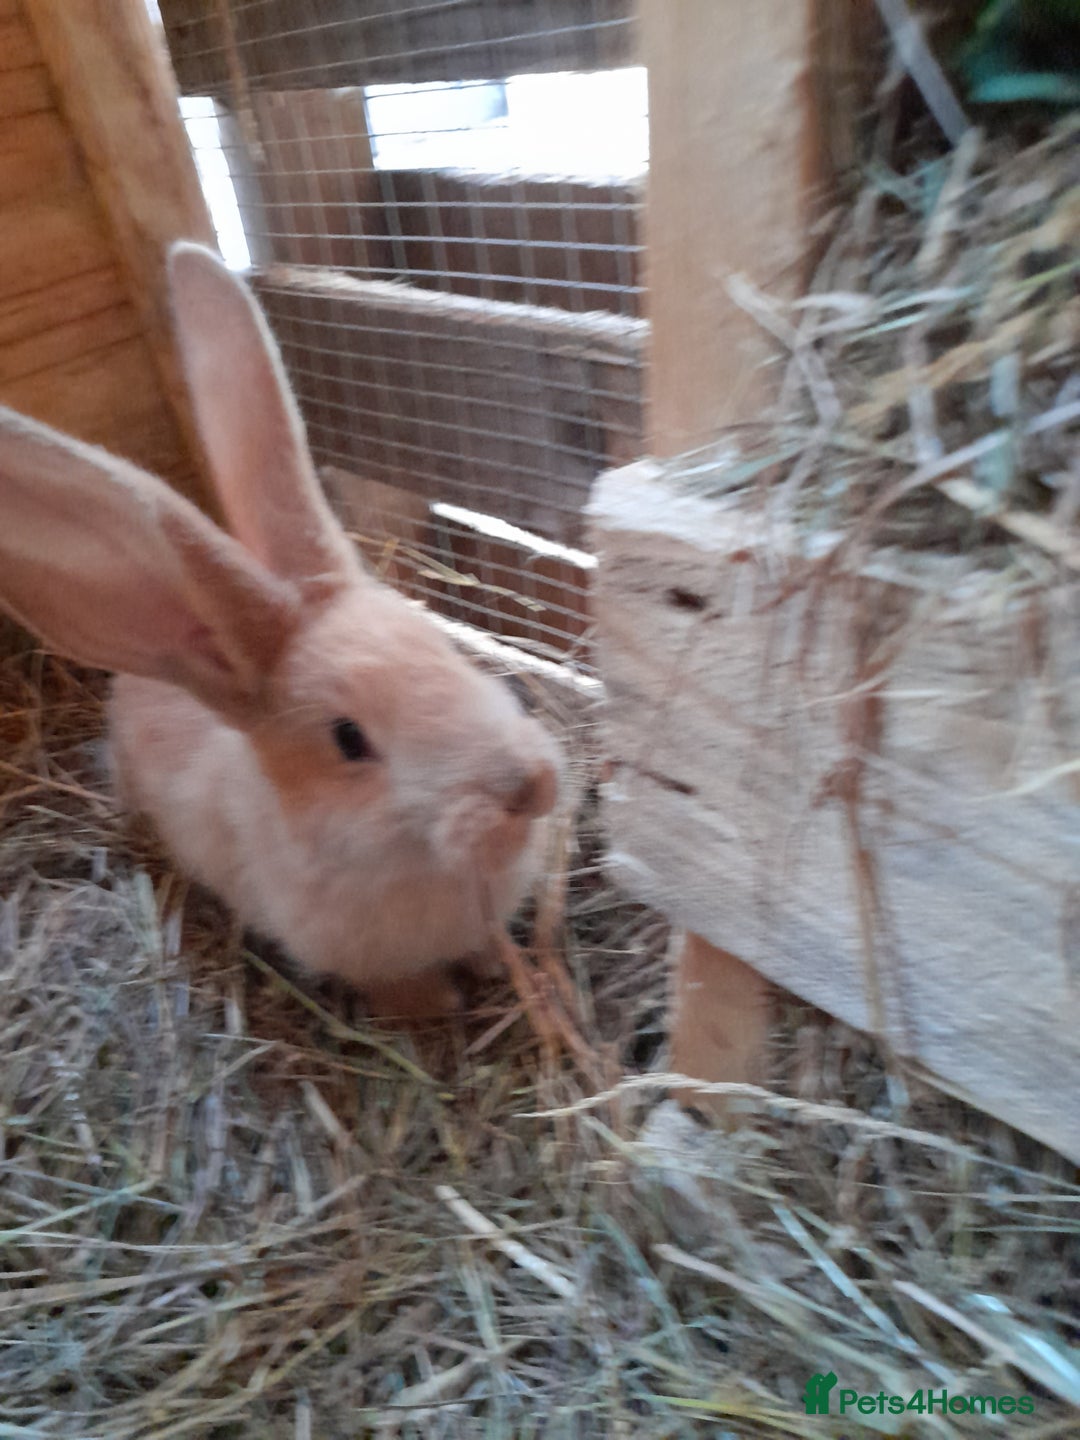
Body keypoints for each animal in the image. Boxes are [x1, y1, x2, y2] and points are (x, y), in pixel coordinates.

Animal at [0, 243, 563, 1019]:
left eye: (445, 648)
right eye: (348, 739)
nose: (530, 788)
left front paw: (497, 971)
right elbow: (407, 992)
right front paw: (436, 1009)